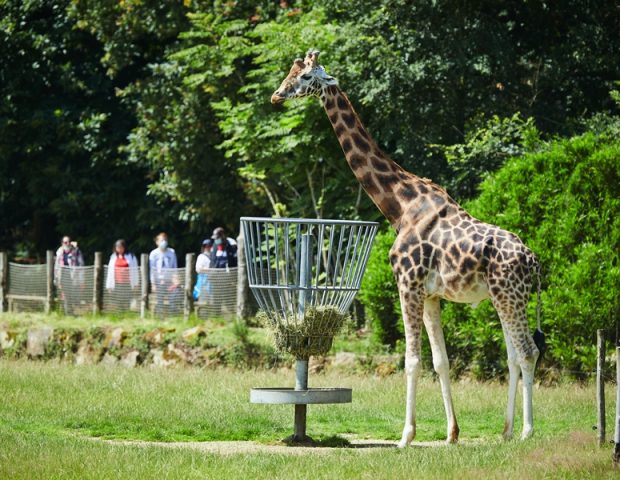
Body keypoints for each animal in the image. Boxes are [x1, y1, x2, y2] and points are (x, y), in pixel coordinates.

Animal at [272, 49, 544, 446]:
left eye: (306, 76)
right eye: (290, 72)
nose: (276, 95)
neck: (400, 205)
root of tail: (534, 261)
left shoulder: (408, 285)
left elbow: (413, 361)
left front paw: (405, 437)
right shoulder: (431, 295)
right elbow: (441, 361)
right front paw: (451, 434)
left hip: (509, 296)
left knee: (527, 351)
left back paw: (526, 431)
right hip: (504, 297)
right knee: (512, 355)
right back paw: (506, 431)